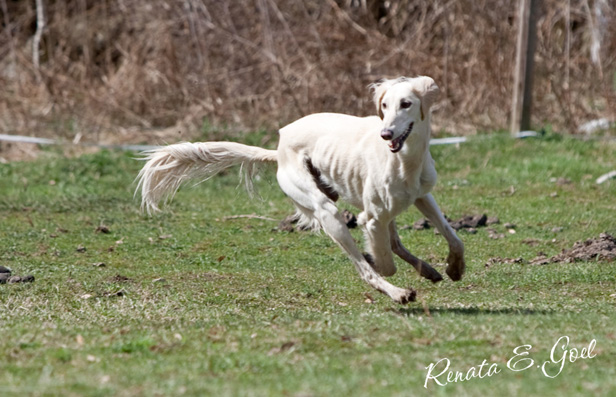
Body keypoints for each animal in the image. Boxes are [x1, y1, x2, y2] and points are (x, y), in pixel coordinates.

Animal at [138, 76, 466, 304]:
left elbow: (454, 237)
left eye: (406, 104)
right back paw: (397, 291)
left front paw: (454, 268)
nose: (386, 133)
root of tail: (279, 144)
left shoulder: (422, 196)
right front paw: (391, 278)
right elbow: (382, 264)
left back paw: (428, 271)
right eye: (384, 106)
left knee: (395, 242)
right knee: (367, 265)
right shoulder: (370, 219)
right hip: (328, 211)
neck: (405, 160)